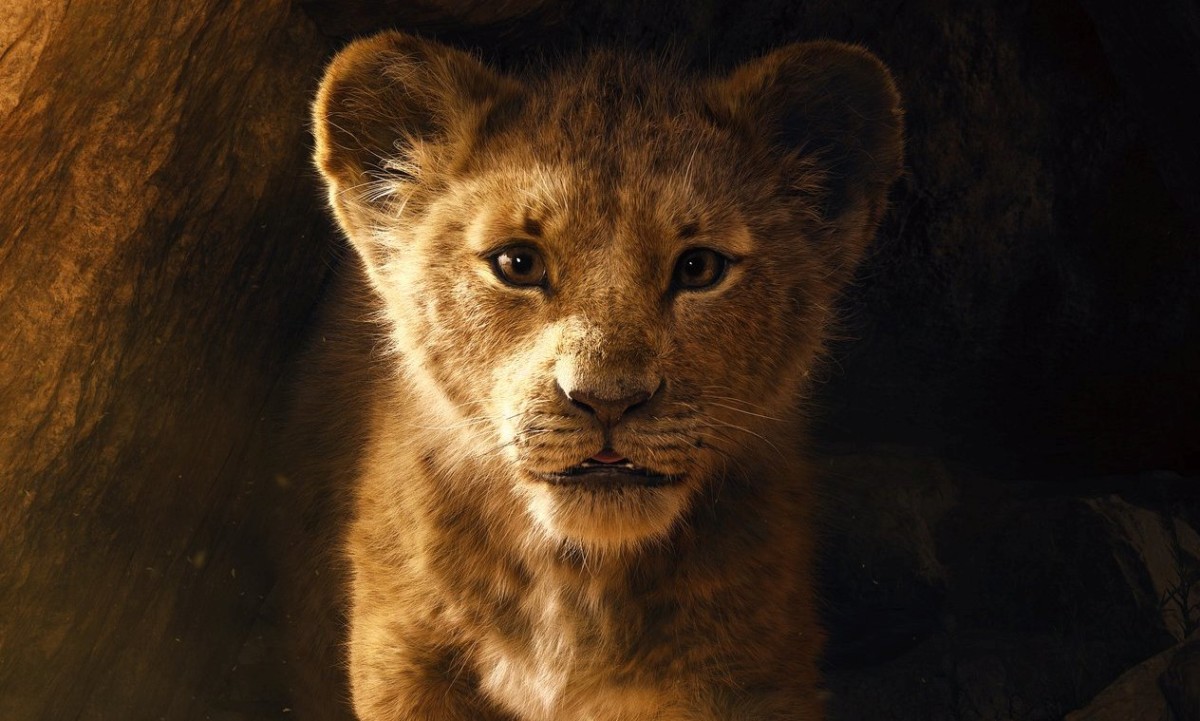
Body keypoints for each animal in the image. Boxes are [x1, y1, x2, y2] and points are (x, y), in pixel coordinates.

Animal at [300, 30, 903, 721]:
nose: (608, 400)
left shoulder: (748, 675)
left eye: (698, 268)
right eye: (517, 263)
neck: (575, 584)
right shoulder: (404, 661)